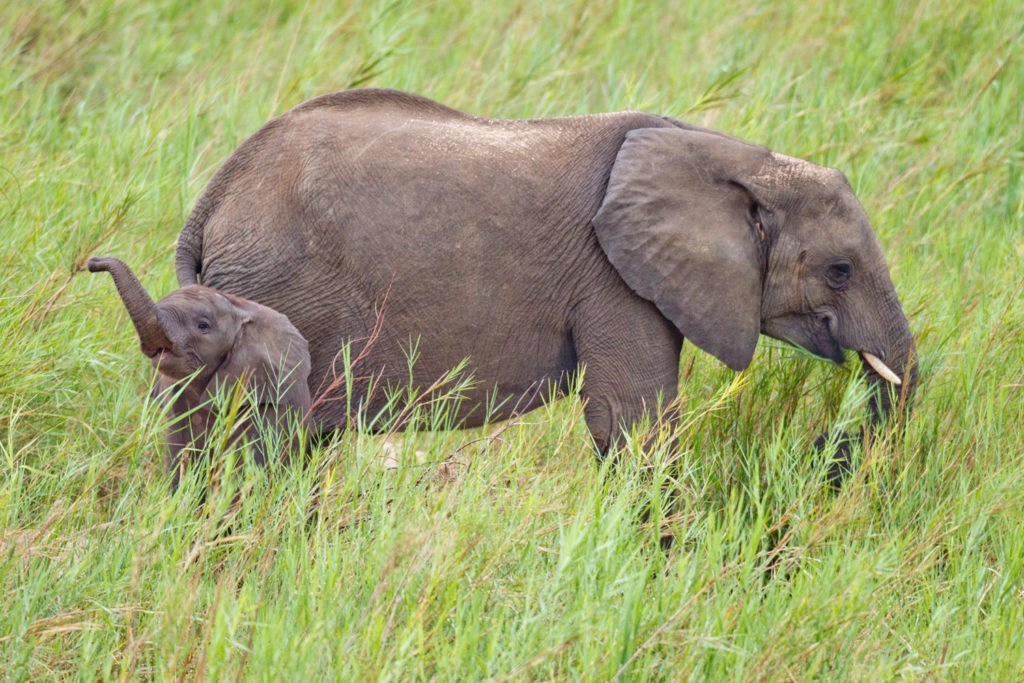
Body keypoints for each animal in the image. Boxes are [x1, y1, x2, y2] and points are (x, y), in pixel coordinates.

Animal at [174, 88, 913, 456]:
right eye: (839, 270)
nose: (825, 445)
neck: (737, 157)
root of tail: (212, 198)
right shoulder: (612, 278)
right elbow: (632, 421)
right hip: (278, 293)